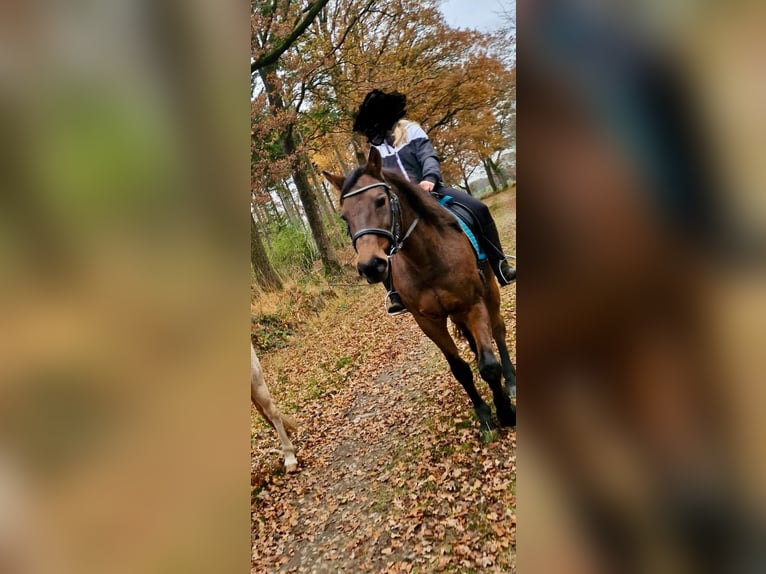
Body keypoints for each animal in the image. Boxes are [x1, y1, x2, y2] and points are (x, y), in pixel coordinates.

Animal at [323, 147, 515, 439]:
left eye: (380, 201)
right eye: (344, 216)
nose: (370, 266)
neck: (427, 260)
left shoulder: (473, 305)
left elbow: (489, 366)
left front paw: (505, 411)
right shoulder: (428, 321)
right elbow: (460, 370)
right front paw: (484, 417)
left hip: (490, 290)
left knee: (498, 331)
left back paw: (511, 380)